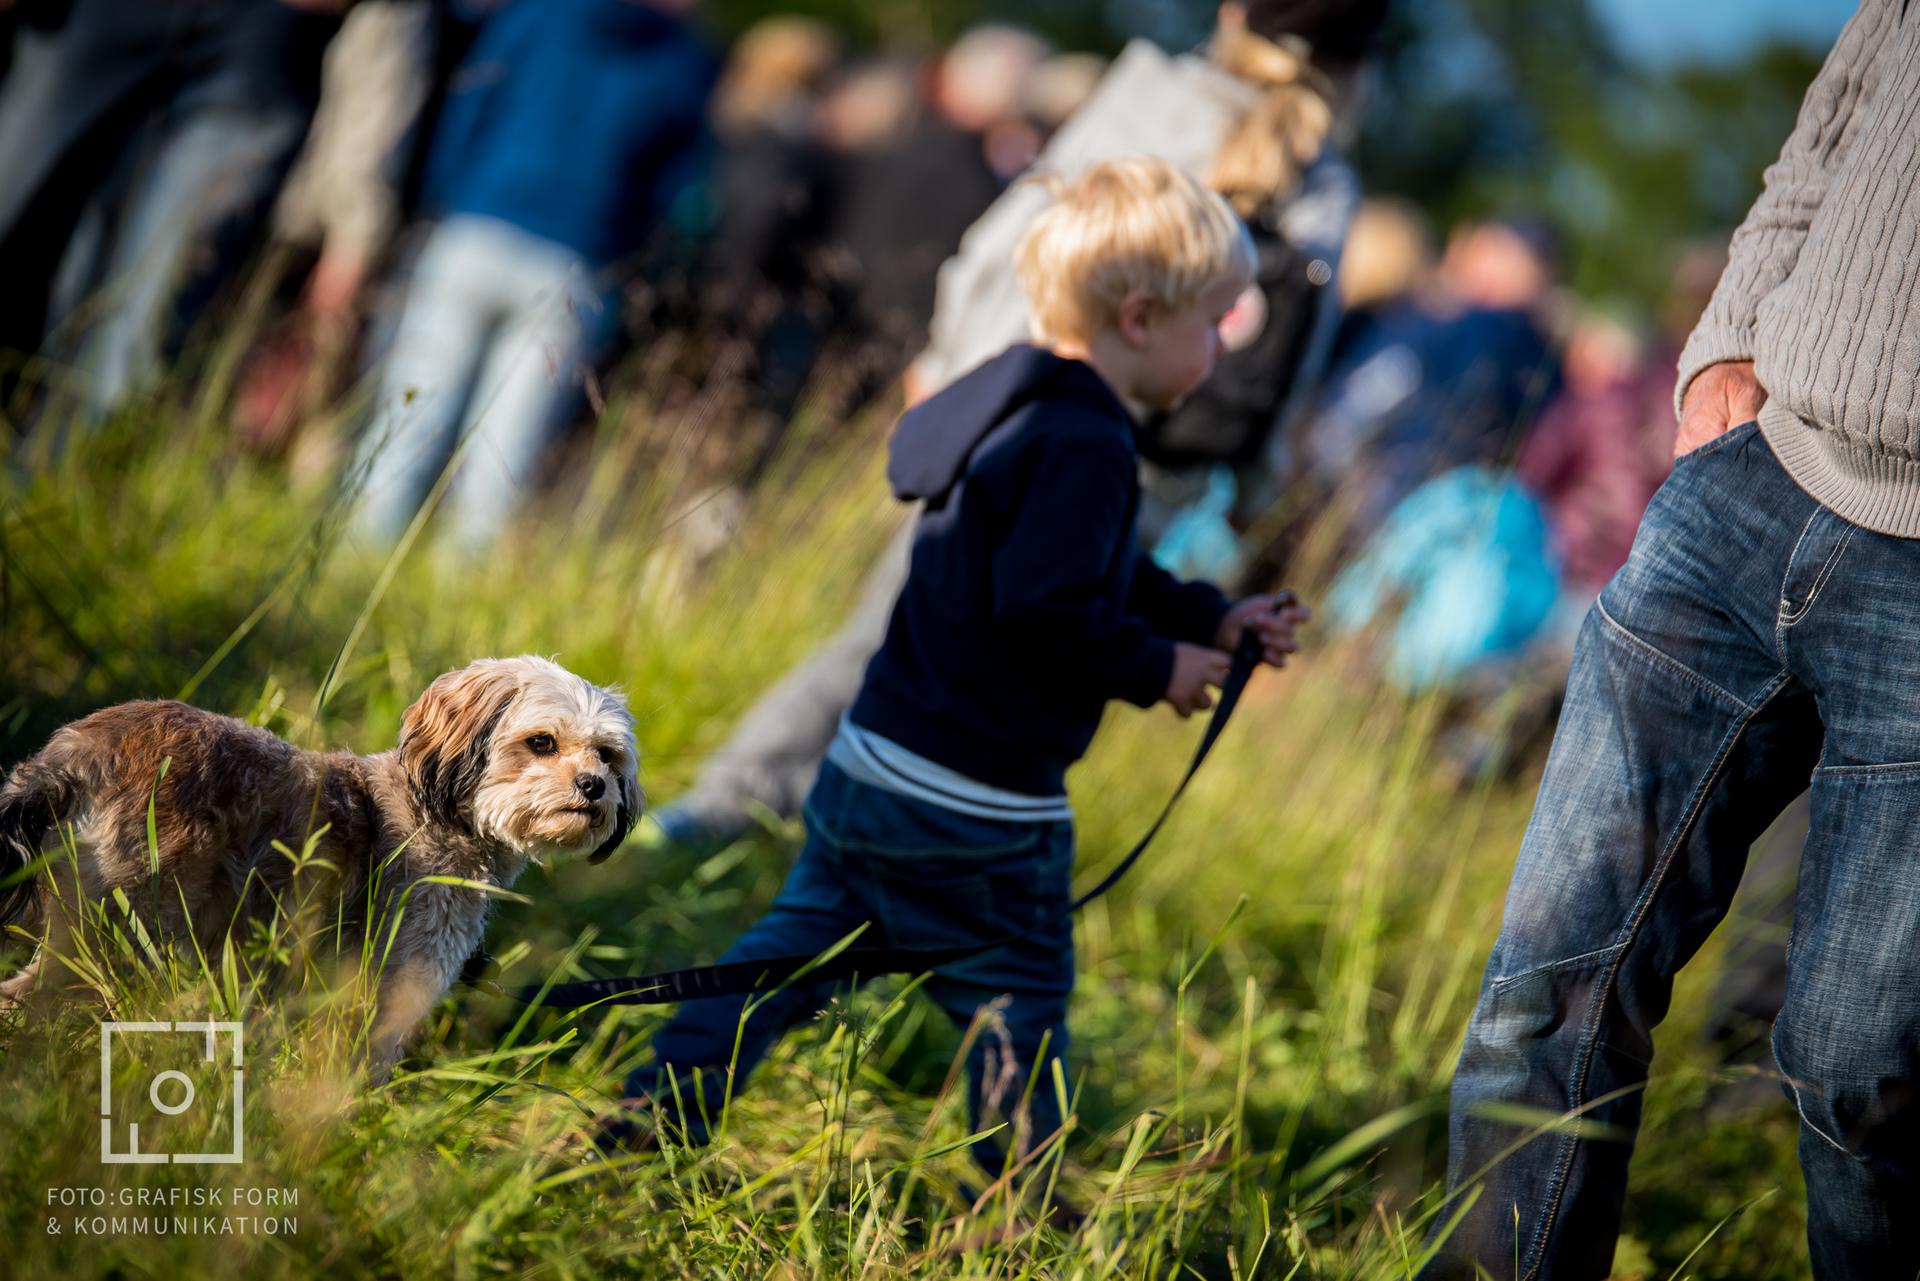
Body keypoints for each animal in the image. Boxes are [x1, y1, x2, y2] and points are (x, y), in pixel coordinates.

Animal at [0, 656, 645, 1075]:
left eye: (607, 755)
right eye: (542, 743)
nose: (594, 786)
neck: (439, 817)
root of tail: (68, 758)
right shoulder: (394, 990)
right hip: (117, 934)